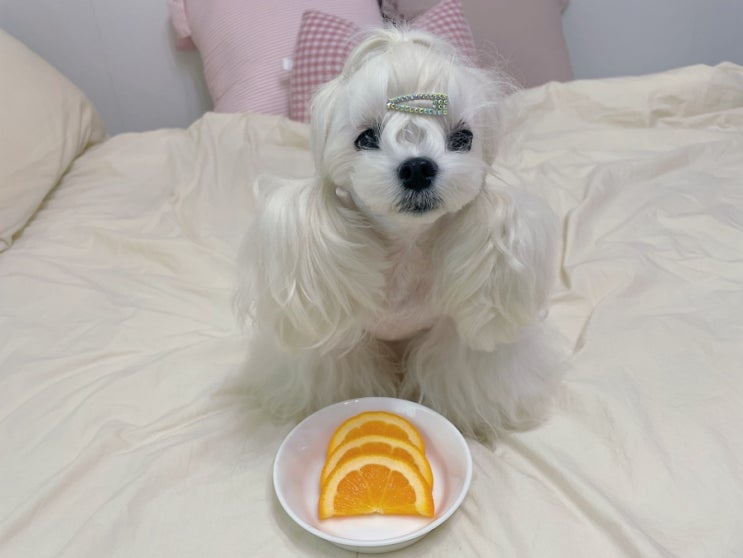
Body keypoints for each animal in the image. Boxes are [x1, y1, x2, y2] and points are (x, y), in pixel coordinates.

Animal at [236, 27, 561, 440]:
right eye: (366, 138)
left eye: (463, 138)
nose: (418, 167)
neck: (406, 246)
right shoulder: (342, 343)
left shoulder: (453, 336)